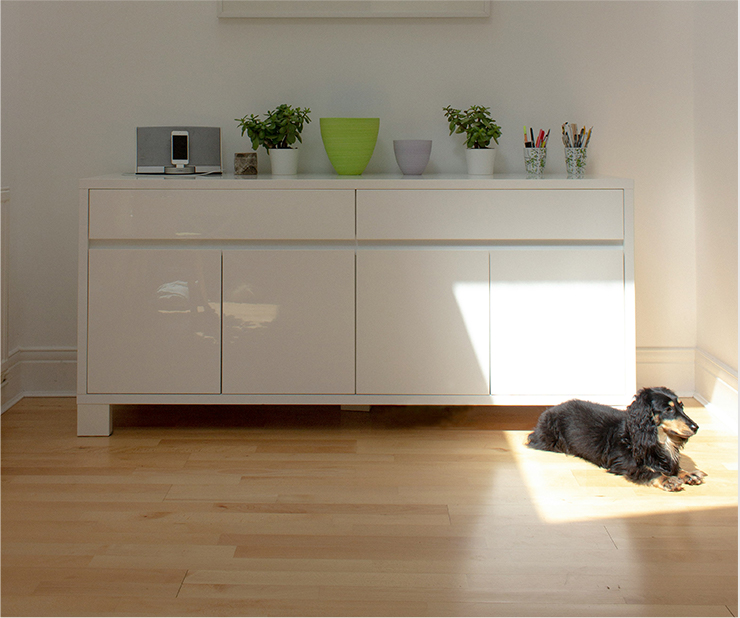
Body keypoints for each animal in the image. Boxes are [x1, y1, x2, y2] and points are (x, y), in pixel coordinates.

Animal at [526, 387, 706, 491]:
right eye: (668, 409)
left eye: (681, 406)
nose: (695, 427)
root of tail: (549, 410)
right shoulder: (624, 464)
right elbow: (648, 471)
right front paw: (668, 480)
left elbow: (674, 467)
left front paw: (688, 474)